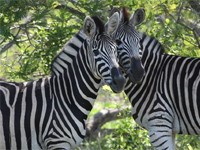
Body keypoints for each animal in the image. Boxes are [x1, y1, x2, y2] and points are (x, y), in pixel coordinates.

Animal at [109, 7, 200, 150]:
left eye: (139, 41)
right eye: (117, 42)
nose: (139, 72)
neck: (153, 77)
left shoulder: (159, 127)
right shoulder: (168, 129)